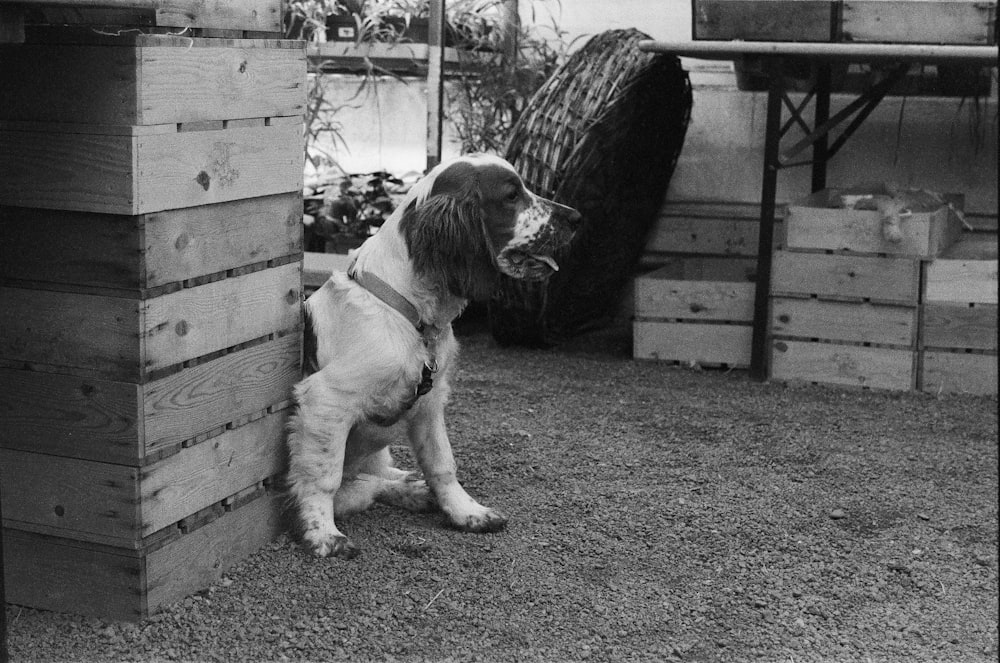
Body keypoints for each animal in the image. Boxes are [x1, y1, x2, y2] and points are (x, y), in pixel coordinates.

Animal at [284, 153, 580, 556]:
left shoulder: (430, 400)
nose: (576, 217)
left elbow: (441, 464)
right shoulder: (326, 401)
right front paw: (322, 533)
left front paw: (466, 512)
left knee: (374, 476)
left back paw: (412, 488)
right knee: (357, 487)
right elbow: (323, 476)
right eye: (511, 196)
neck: (412, 317)